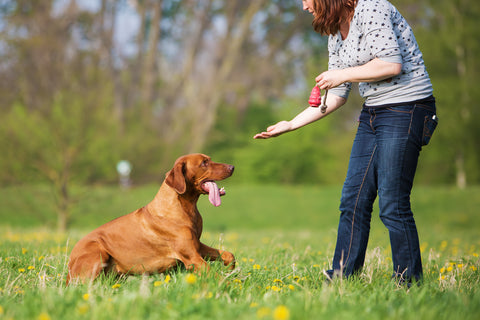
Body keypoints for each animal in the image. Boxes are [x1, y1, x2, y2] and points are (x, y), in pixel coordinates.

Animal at [65, 154, 234, 284]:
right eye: (204, 163)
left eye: (209, 159)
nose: (232, 167)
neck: (186, 208)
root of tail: (69, 265)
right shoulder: (192, 257)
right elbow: (215, 275)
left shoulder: (197, 246)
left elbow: (229, 254)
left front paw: (231, 268)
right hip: (98, 252)